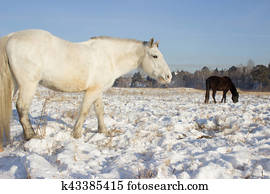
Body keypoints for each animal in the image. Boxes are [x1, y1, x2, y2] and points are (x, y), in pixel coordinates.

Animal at [0, 29, 172, 152]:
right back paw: (31, 136)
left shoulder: (98, 90)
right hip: (28, 84)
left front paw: (103, 131)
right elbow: (84, 110)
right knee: (22, 107)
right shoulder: (92, 91)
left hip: (15, 85)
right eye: (155, 56)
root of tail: (11, 37)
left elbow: (99, 110)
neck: (110, 57)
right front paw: (76, 134)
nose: (168, 76)